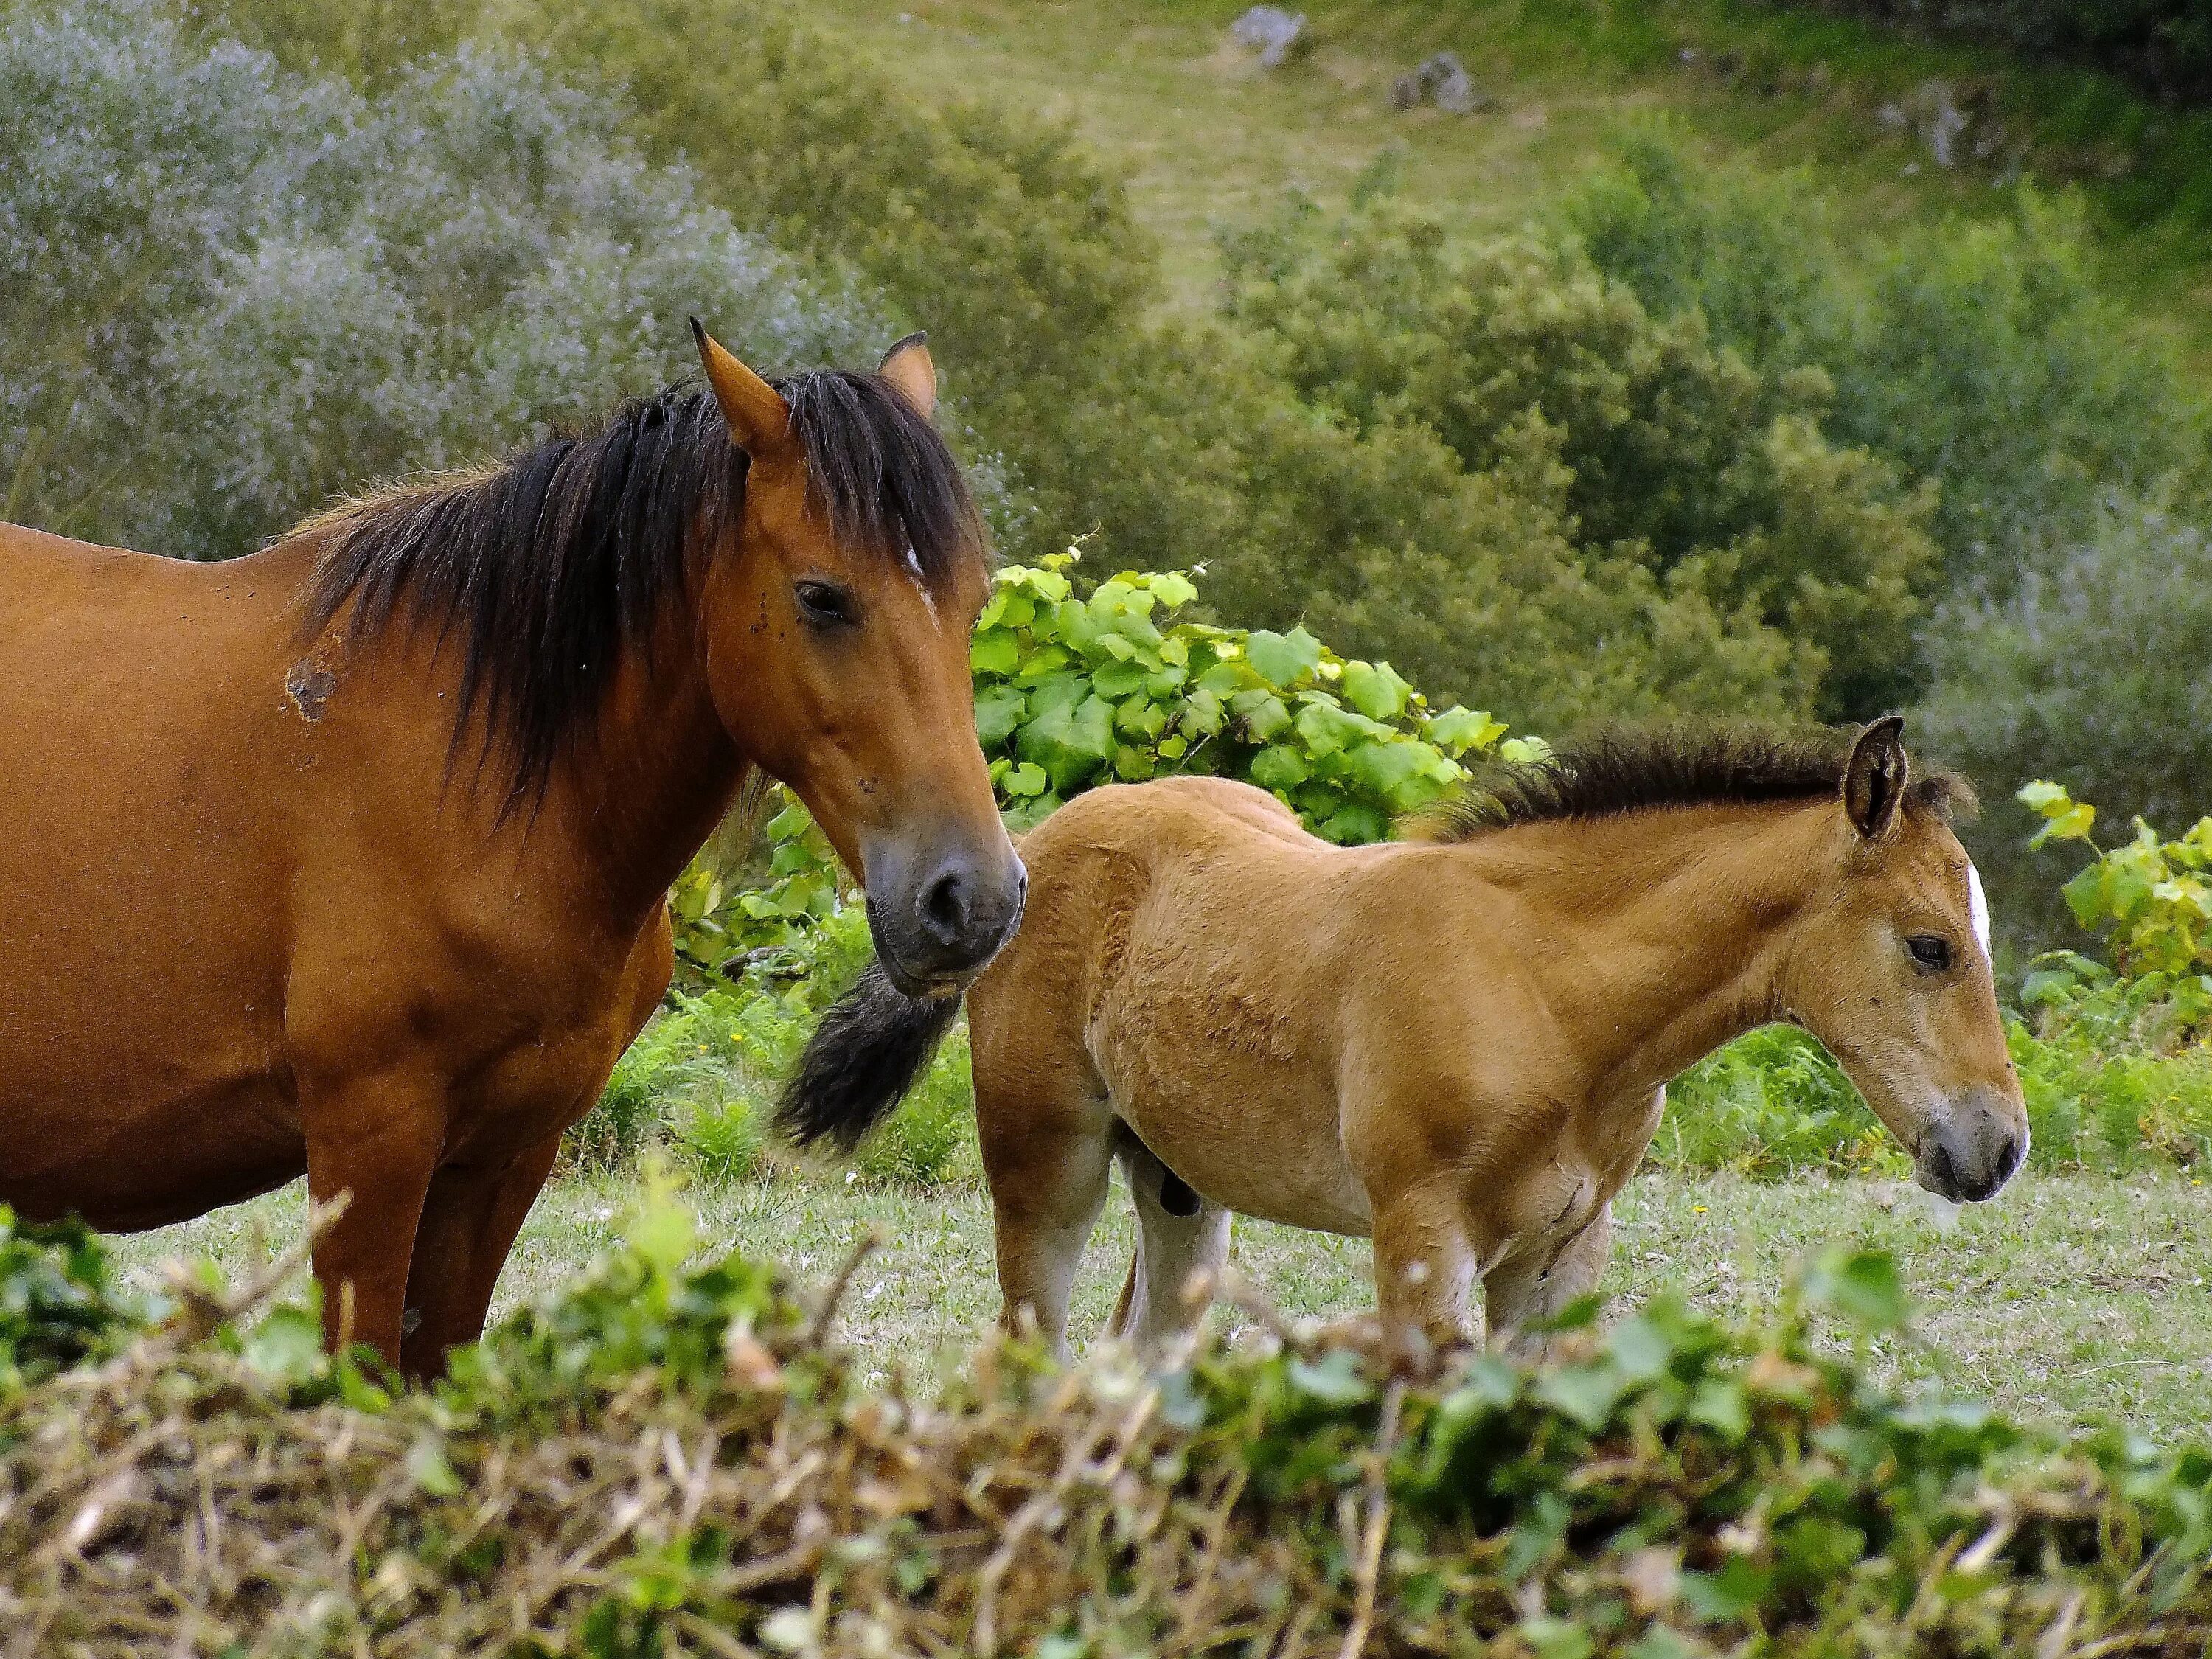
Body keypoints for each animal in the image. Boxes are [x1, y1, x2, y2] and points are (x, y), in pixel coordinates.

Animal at [0, 325, 1018, 1380]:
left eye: (972, 601)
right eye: (821, 597)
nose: (972, 899)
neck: (484, 784)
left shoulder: (504, 1156)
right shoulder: (372, 1142)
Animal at [787, 726, 2026, 1363]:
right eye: (1930, 946)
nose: (2000, 1147)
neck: (1547, 989)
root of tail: (1030, 850)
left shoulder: (1563, 1251)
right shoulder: (1421, 1238)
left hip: (1181, 1187)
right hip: (1049, 1166)